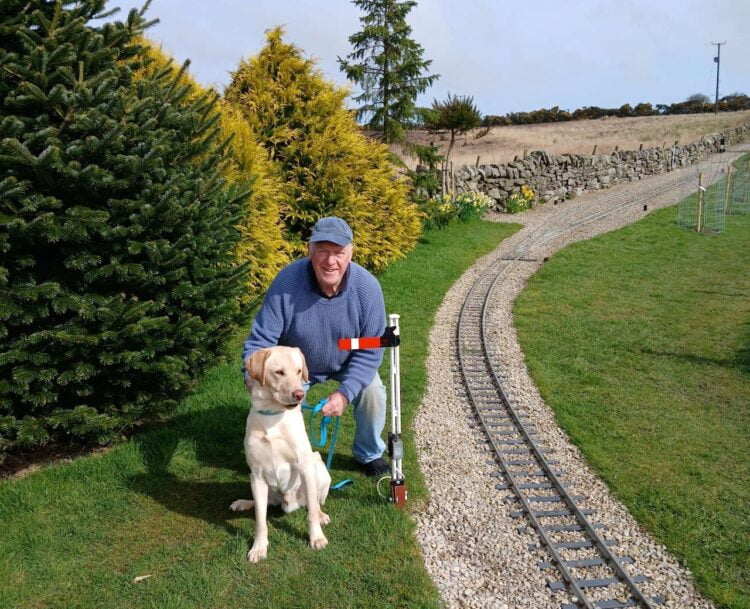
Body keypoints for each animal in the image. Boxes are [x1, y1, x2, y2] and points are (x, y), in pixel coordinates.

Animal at [232, 346, 332, 560]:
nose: (299, 394)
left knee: (314, 502)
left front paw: (316, 538)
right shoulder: (257, 474)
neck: (272, 415)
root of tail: (290, 503)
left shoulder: (305, 466)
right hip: (257, 483)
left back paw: (321, 515)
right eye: (279, 372)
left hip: (317, 465)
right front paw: (259, 547)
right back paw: (244, 503)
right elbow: (260, 520)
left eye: (298, 371)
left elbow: (311, 512)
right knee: (264, 504)